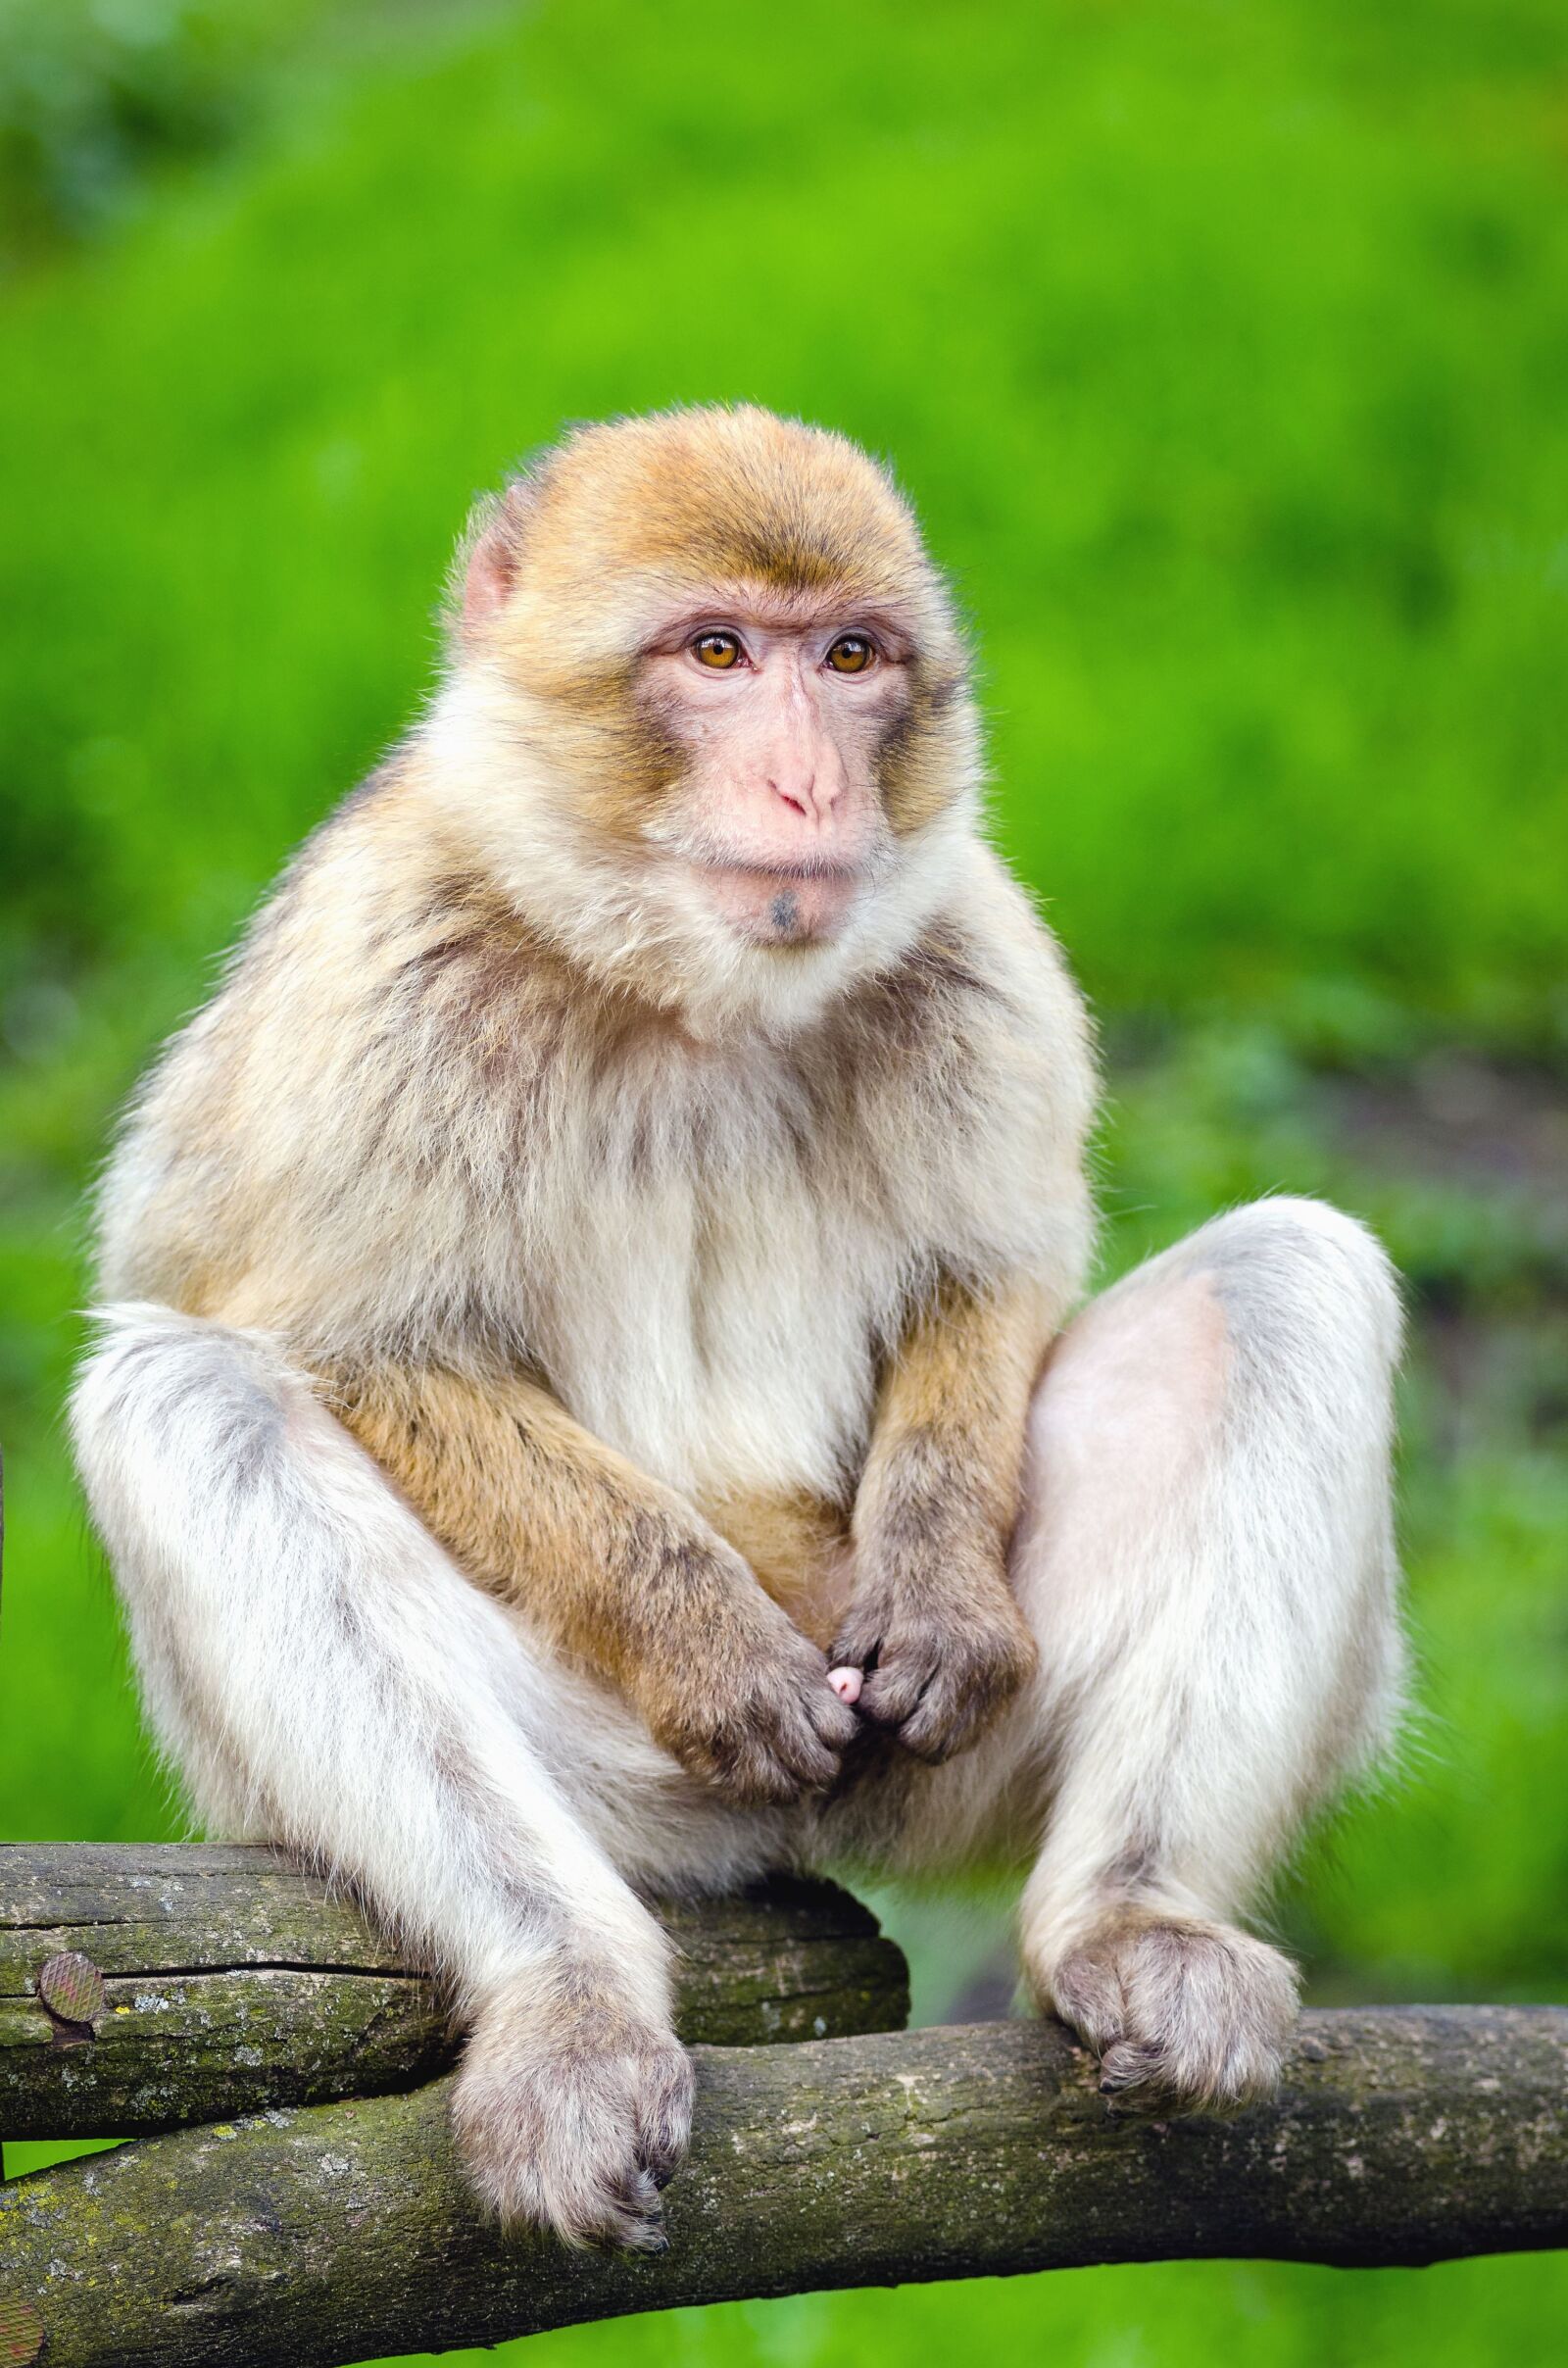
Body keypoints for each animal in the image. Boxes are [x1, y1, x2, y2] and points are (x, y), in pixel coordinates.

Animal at [70, 405, 1404, 2252]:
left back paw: (1135, 1925)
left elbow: (991, 1277)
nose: (810, 785)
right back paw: (569, 2005)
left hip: (959, 1767)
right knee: (190, 1400)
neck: (682, 990)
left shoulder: (976, 940)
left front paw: (941, 1593)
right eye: (715, 654)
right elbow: (361, 1344)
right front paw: (707, 1641)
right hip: (626, 1789)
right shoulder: (391, 974)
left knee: (1295, 1275)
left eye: (848, 659)